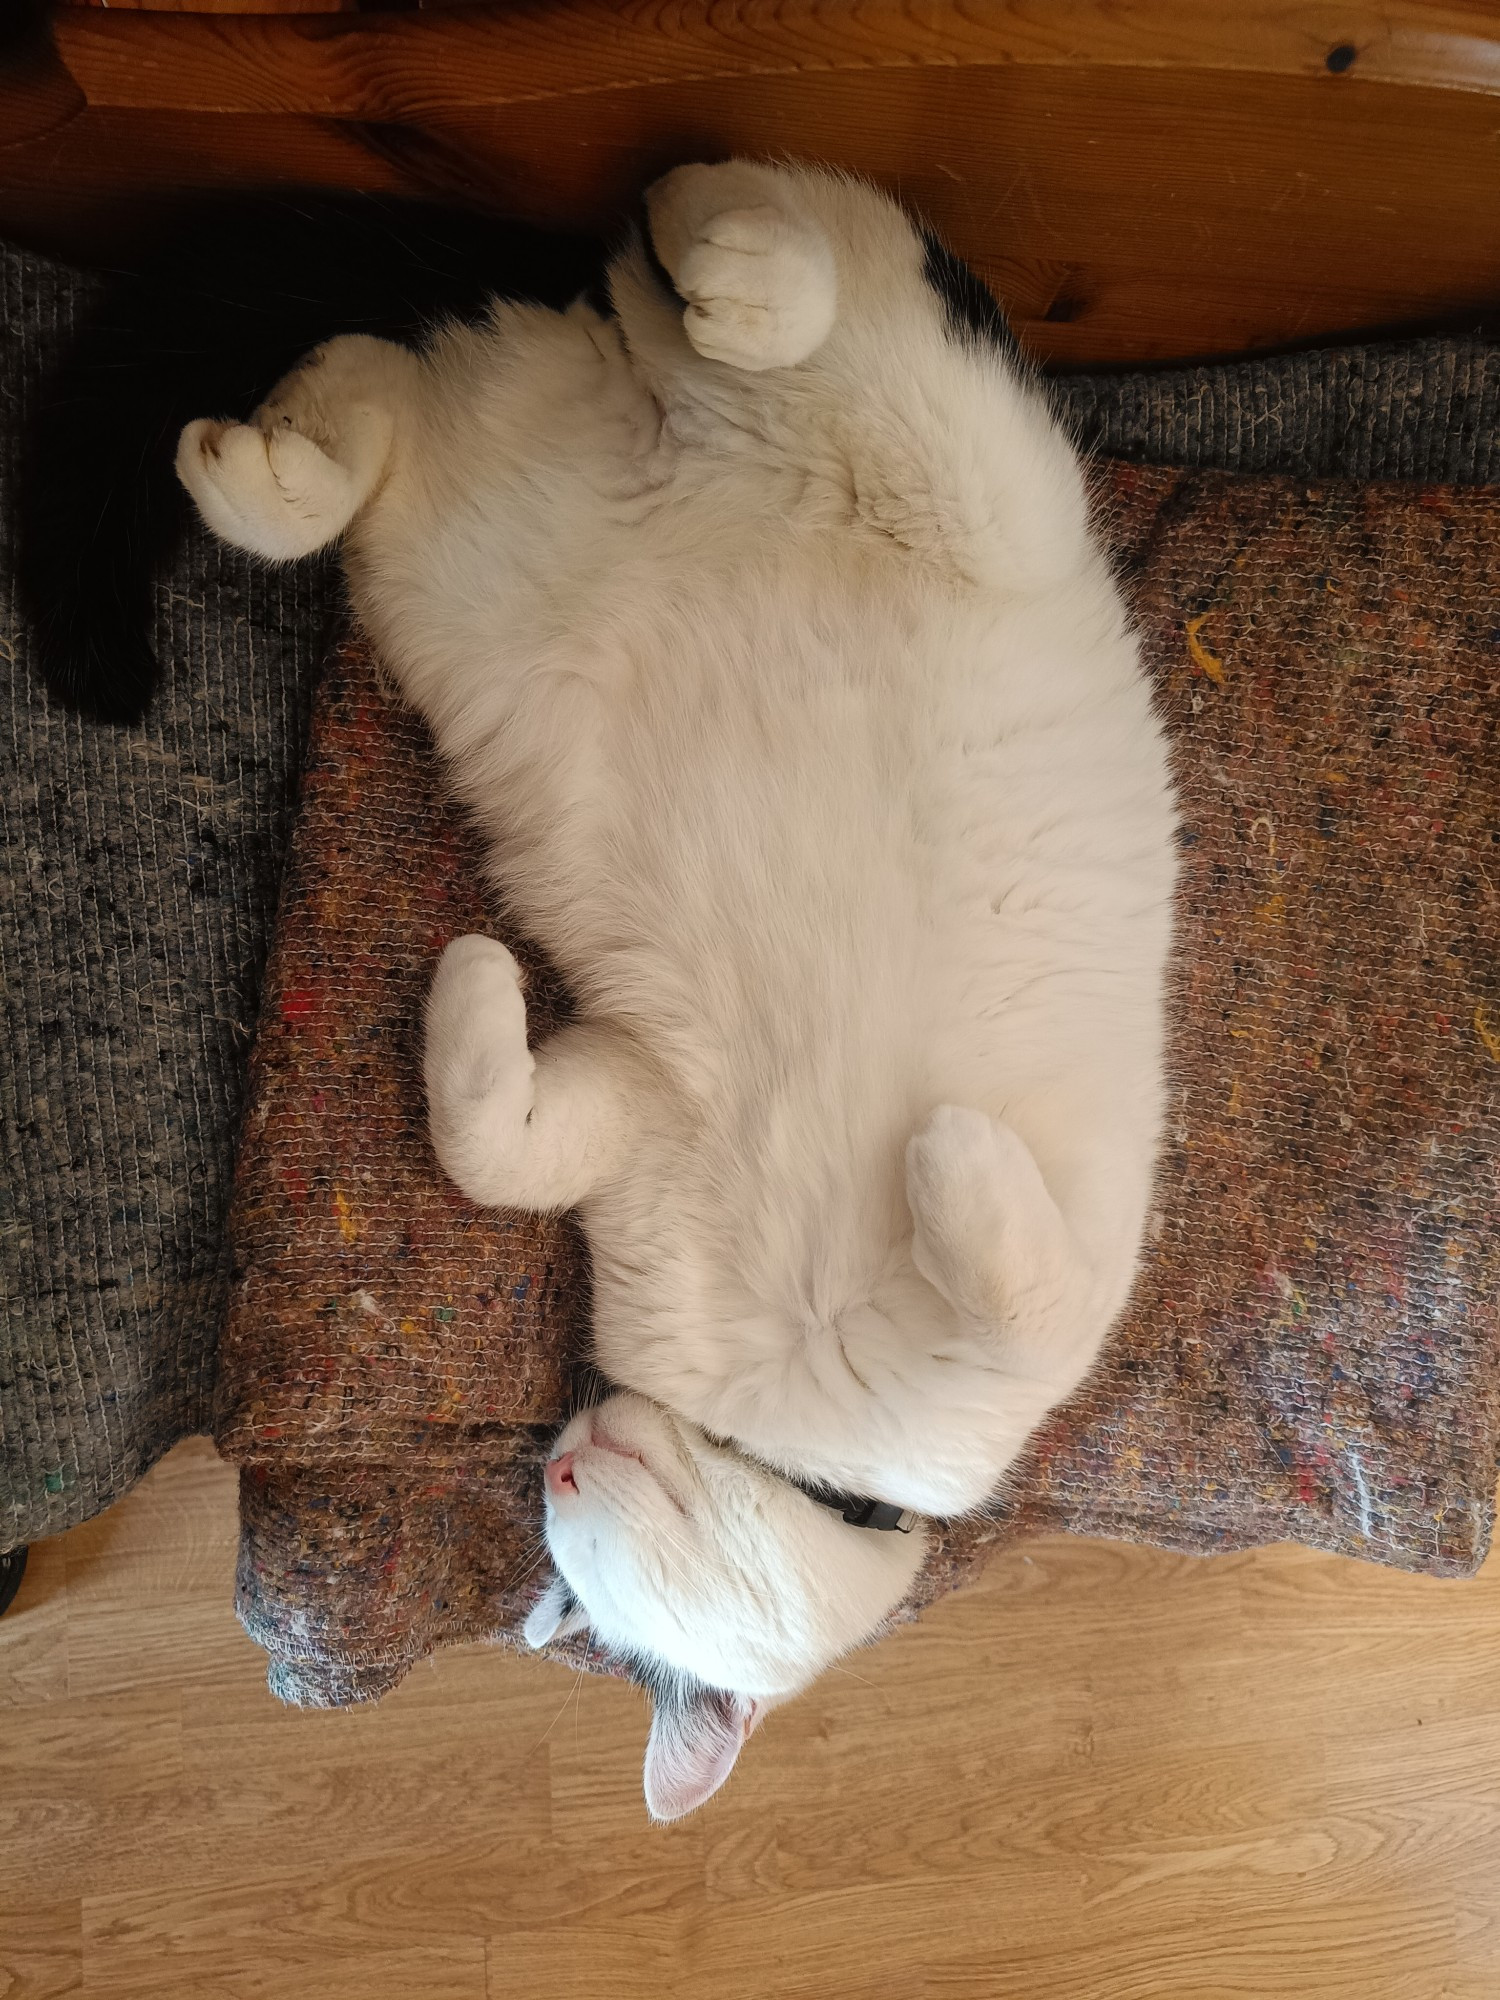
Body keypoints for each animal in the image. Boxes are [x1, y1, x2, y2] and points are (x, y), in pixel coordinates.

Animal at [176, 164, 1184, 1824]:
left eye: (577, 1564)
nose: (565, 1457)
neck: (761, 1411)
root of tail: (642, 419)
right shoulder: (652, 1105)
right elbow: (488, 1147)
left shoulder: (657, 1102)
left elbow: (503, 1141)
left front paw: (946, 1157)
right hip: (831, 481)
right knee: (776, 266)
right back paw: (719, 270)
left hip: (707, 508)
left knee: (413, 381)